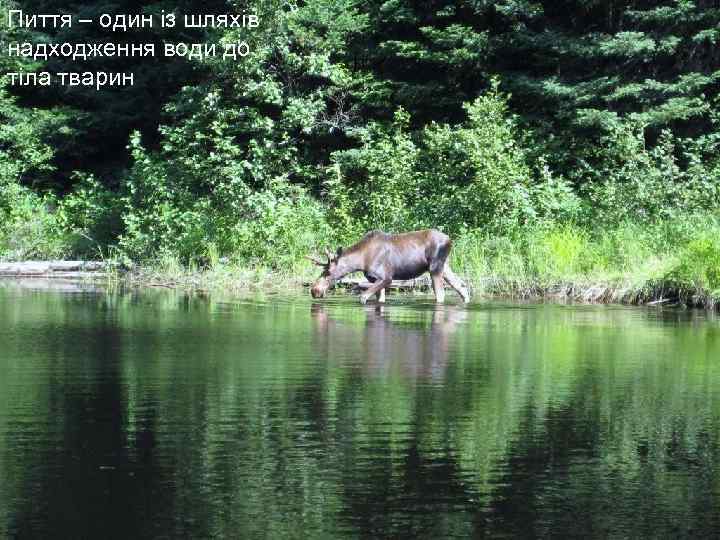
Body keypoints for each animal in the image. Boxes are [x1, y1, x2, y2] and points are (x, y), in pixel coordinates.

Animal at [306, 228, 470, 304]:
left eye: (327, 272)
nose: (314, 290)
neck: (361, 261)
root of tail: (450, 240)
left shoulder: (386, 278)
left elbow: (362, 297)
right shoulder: (374, 279)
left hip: (435, 267)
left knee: (441, 294)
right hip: (445, 266)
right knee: (462, 287)